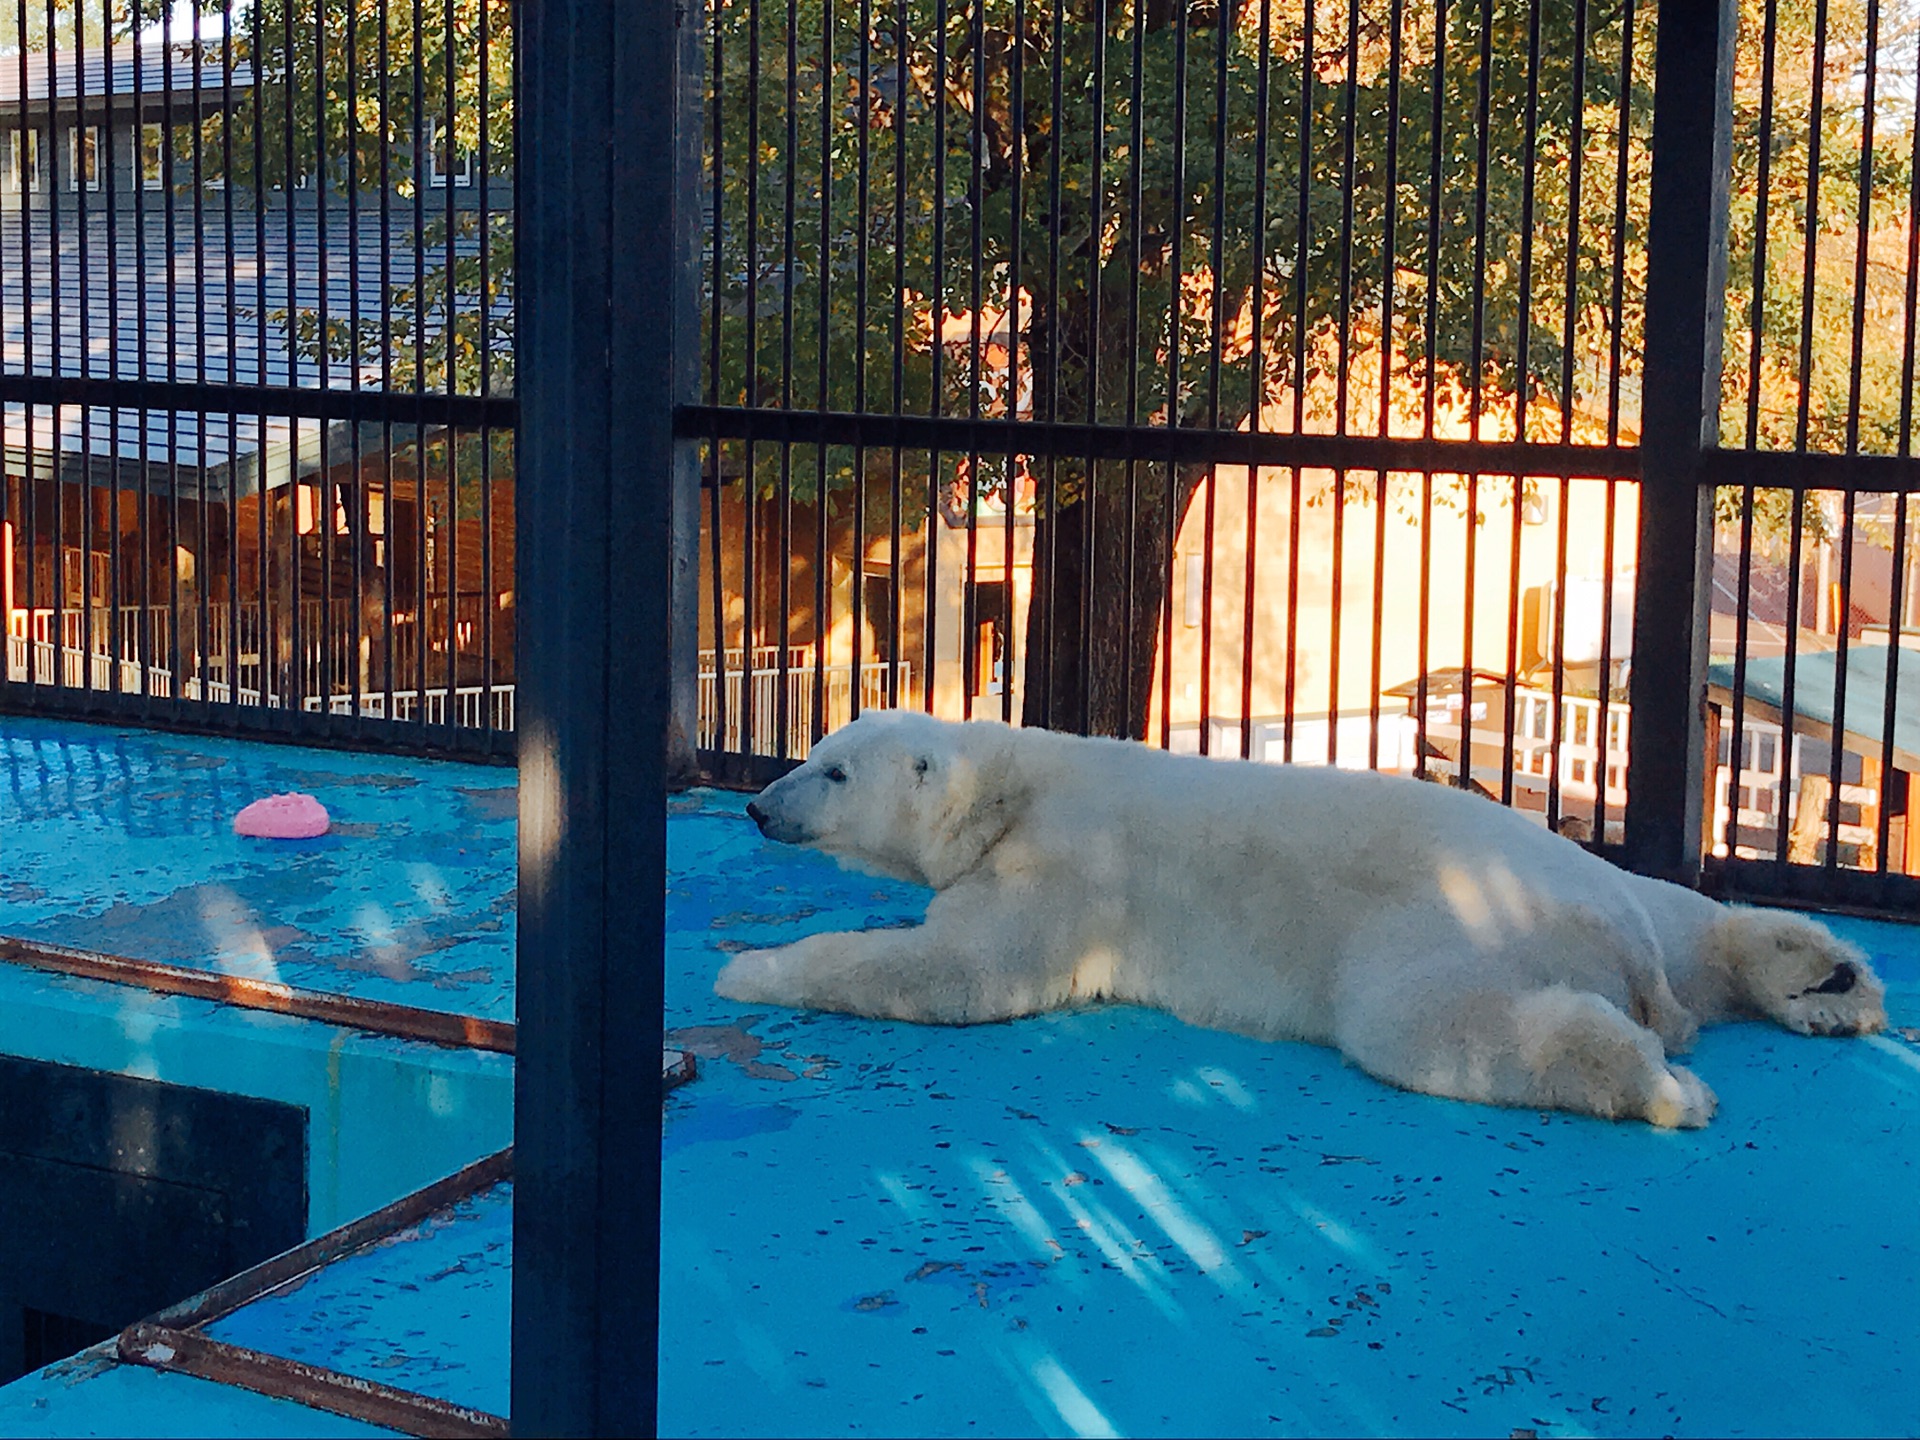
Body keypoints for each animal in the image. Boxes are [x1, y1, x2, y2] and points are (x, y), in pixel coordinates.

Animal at [721, 718, 1889, 1136]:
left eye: (833, 769)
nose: (759, 808)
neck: (1015, 779)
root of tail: (1616, 940)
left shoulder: (1066, 869)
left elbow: (960, 969)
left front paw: (750, 968)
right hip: (1610, 887)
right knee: (1692, 922)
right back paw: (1829, 983)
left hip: (1445, 928)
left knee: (1430, 1027)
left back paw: (1660, 1084)